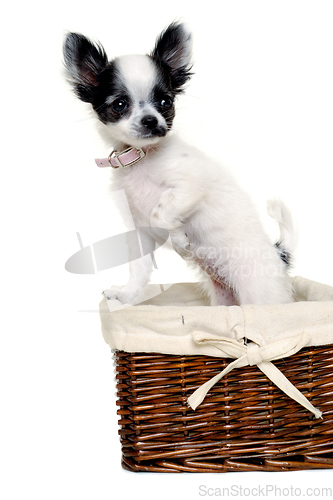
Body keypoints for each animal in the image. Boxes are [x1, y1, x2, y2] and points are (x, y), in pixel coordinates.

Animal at [63, 22, 294, 304]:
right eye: (119, 104)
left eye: (166, 102)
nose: (151, 120)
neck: (142, 159)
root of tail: (279, 256)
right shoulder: (138, 231)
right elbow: (139, 268)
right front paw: (126, 295)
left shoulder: (190, 188)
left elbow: (161, 211)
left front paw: (181, 241)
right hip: (222, 299)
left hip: (260, 297)